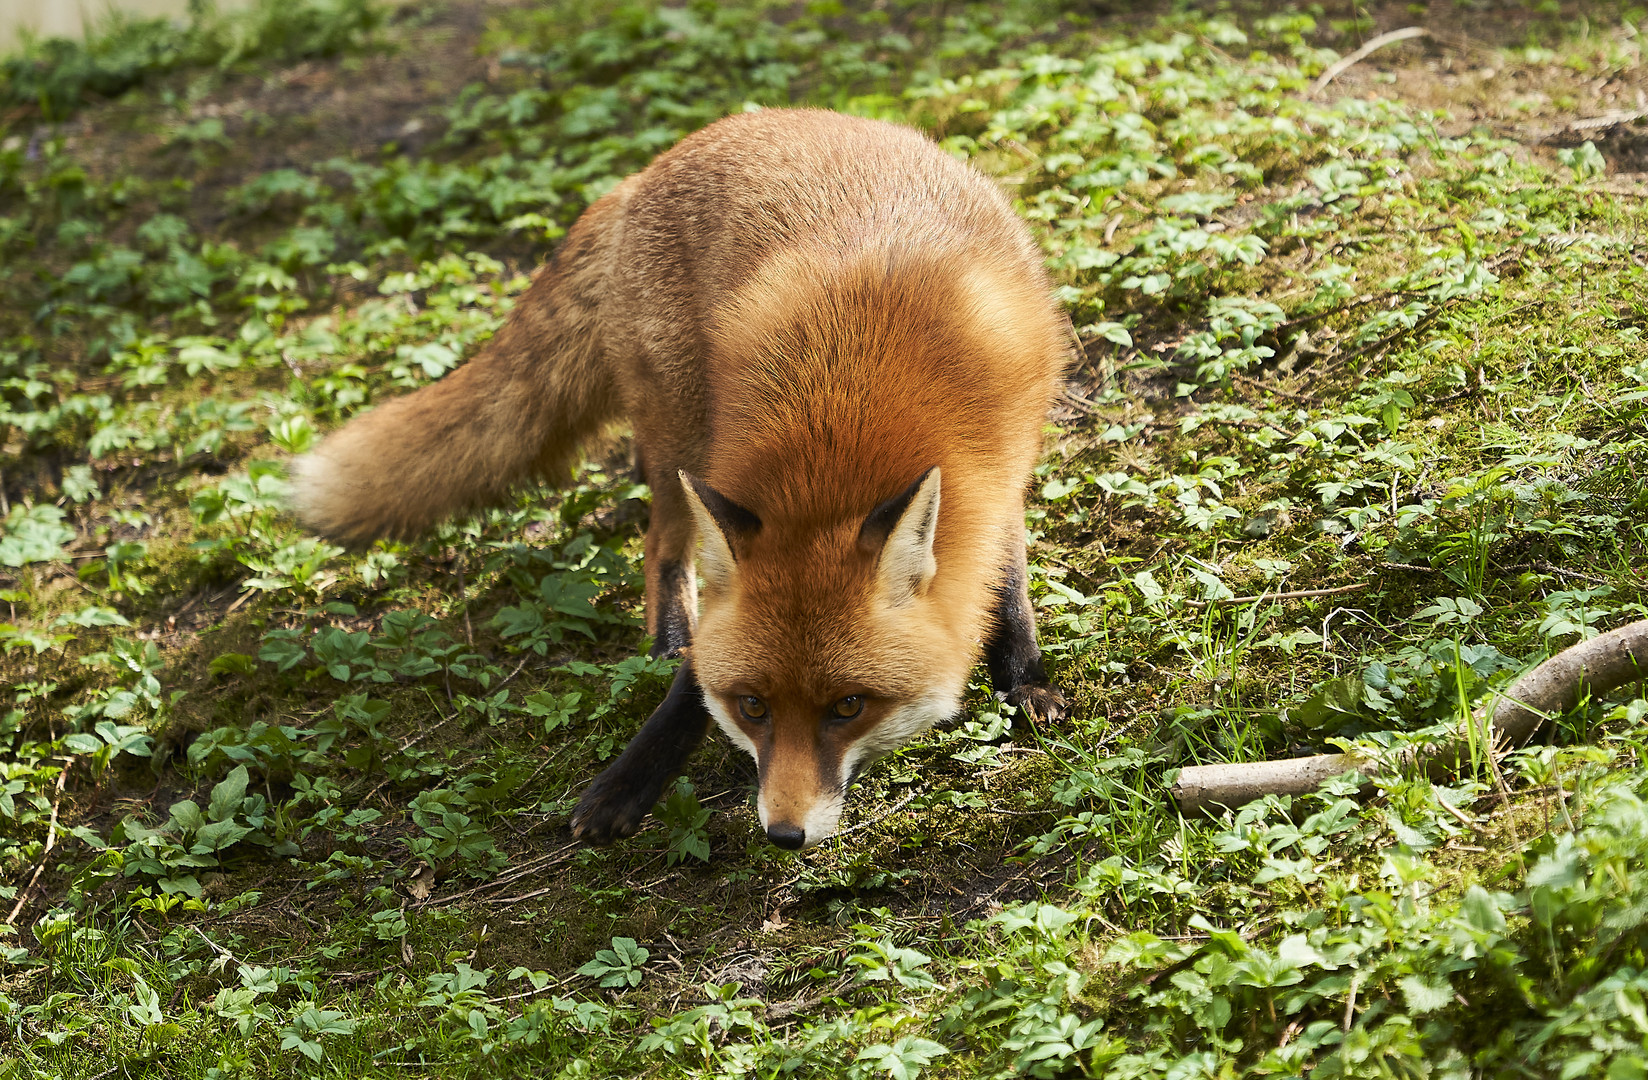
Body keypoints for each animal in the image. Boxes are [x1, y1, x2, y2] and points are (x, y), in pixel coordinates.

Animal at [293, 109, 1067, 850]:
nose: (784, 835)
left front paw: (1023, 677)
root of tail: (652, 167)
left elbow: (1008, 578)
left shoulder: (1003, 470)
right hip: (682, 435)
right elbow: (695, 671)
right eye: (753, 706)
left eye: (849, 707)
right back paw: (669, 635)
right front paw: (629, 778)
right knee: (662, 545)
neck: (850, 427)